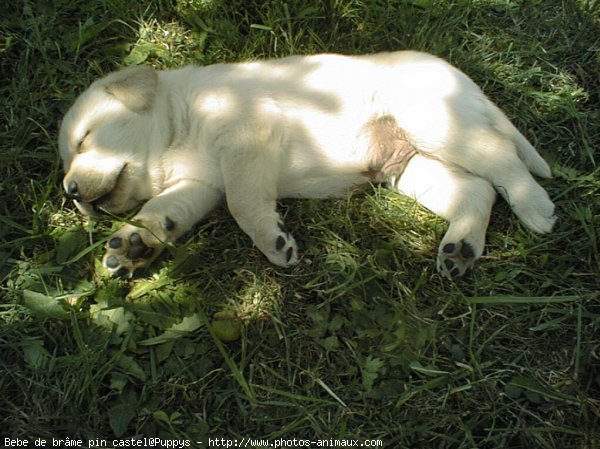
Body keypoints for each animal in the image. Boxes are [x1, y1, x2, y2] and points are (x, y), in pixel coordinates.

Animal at [58, 50, 556, 278]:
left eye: (84, 139)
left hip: (435, 123)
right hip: (414, 169)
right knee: (478, 189)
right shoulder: (200, 183)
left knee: (504, 160)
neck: (178, 126)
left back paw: (537, 210)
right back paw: (460, 249)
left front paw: (274, 243)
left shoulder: (246, 137)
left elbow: (243, 205)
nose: (71, 192)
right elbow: (163, 211)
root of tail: (461, 77)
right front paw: (134, 243)